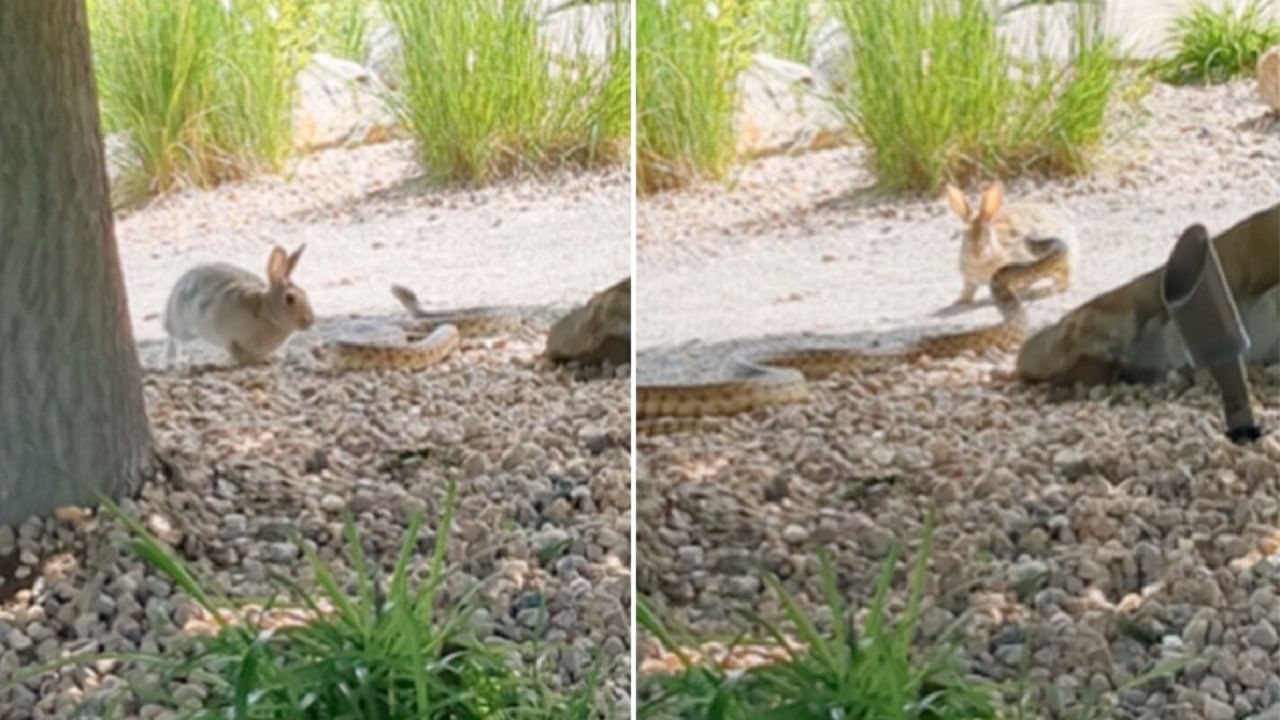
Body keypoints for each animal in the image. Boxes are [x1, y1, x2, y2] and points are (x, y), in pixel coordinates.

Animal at [161, 242, 313, 363]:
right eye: (289, 299)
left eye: (306, 293)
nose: (309, 321)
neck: (267, 311)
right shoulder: (229, 335)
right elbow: (234, 349)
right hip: (184, 329)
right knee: (174, 339)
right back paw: (173, 359)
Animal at [947, 181, 1075, 302]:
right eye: (964, 234)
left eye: (988, 234)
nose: (977, 252)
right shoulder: (969, 281)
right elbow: (968, 290)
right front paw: (962, 301)